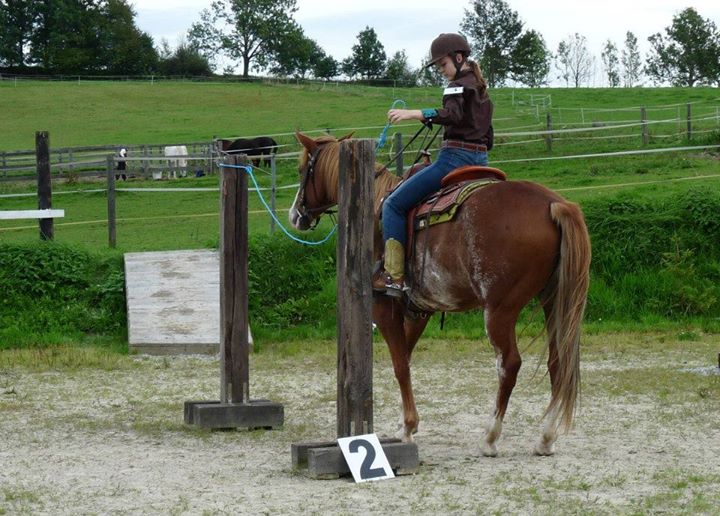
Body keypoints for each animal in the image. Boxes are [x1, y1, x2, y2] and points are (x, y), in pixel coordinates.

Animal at [286, 132, 592, 456]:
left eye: (302, 169)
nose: (295, 215)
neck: (374, 210)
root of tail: (554, 204)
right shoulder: (420, 310)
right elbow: (406, 357)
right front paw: (404, 425)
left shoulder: (384, 307)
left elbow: (400, 365)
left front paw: (409, 426)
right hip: (553, 300)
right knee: (558, 361)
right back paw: (545, 437)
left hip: (500, 310)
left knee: (509, 364)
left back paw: (490, 437)